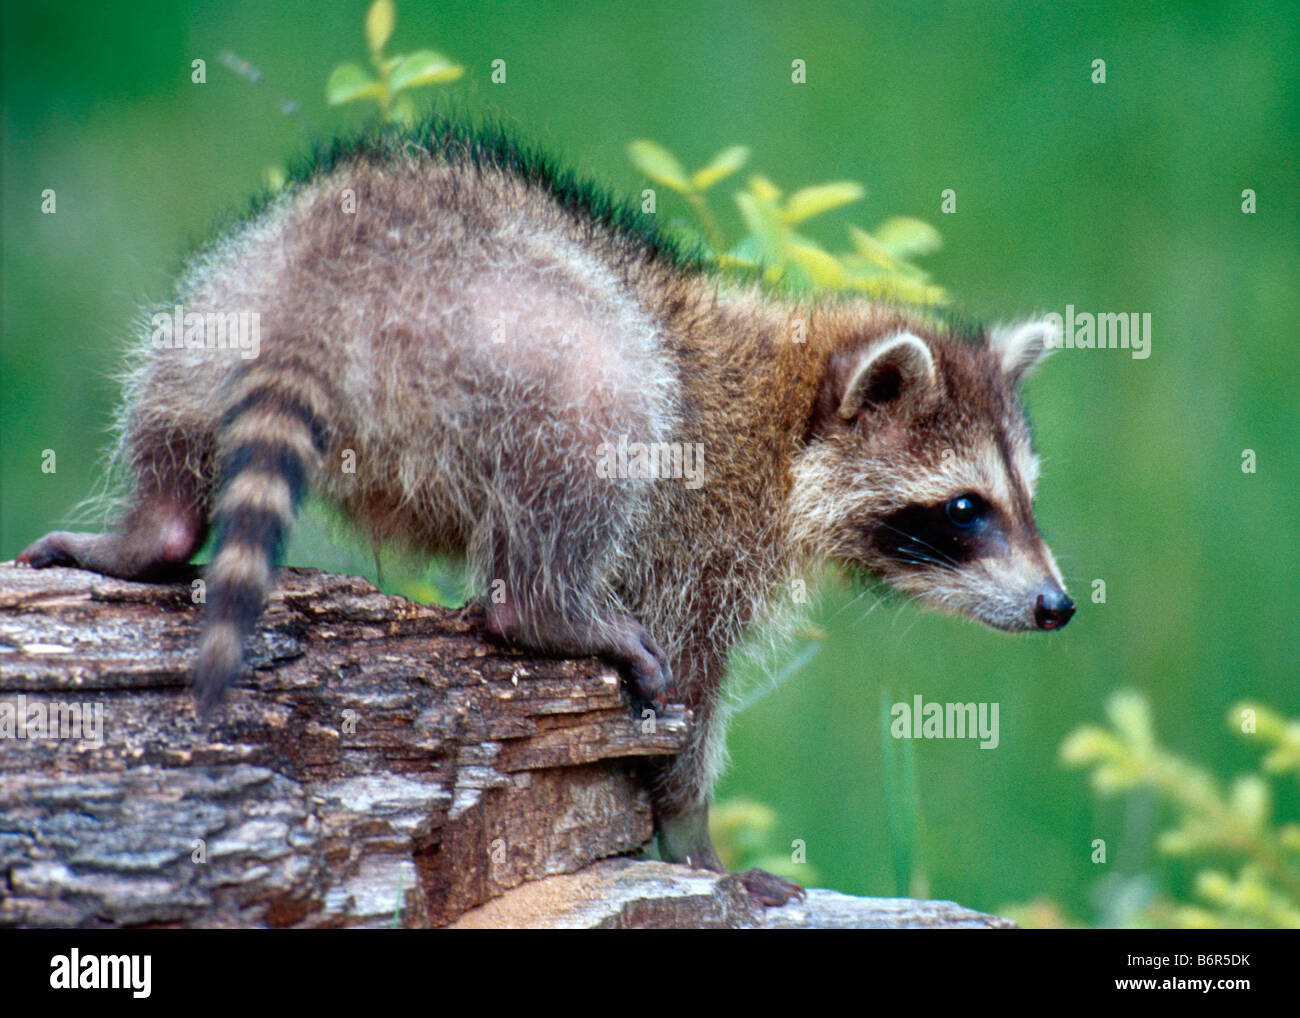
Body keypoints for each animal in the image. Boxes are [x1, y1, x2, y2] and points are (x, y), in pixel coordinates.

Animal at [18, 118, 1073, 907]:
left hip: (217, 298)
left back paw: (149, 533)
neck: (792, 406)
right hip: (520, 348)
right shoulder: (710, 526)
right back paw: (549, 607)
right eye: (965, 508)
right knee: (609, 409)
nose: (1059, 607)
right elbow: (692, 691)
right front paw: (693, 837)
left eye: (1026, 496)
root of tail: (336, 282)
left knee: (169, 412)